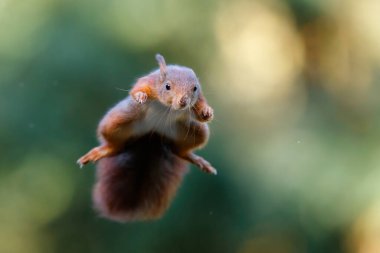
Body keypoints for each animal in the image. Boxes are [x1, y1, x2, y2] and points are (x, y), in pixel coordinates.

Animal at [77, 53, 215, 221]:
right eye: (167, 86)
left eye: (195, 88)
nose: (183, 102)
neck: (168, 106)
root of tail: (152, 135)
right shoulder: (149, 82)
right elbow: (138, 87)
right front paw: (140, 95)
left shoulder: (198, 98)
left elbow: (200, 109)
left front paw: (207, 112)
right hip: (115, 122)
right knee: (115, 146)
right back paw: (102, 151)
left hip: (196, 133)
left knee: (178, 151)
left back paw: (196, 159)